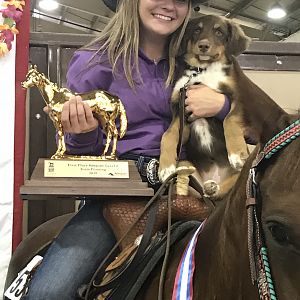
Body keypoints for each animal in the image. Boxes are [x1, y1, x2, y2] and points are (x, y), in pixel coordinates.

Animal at [137, 58, 300, 298]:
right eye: (277, 231)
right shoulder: (180, 114)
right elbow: (169, 134)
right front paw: (165, 166)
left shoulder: (233, 102)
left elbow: (230, 120)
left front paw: (236, 152)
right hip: (188, 167)